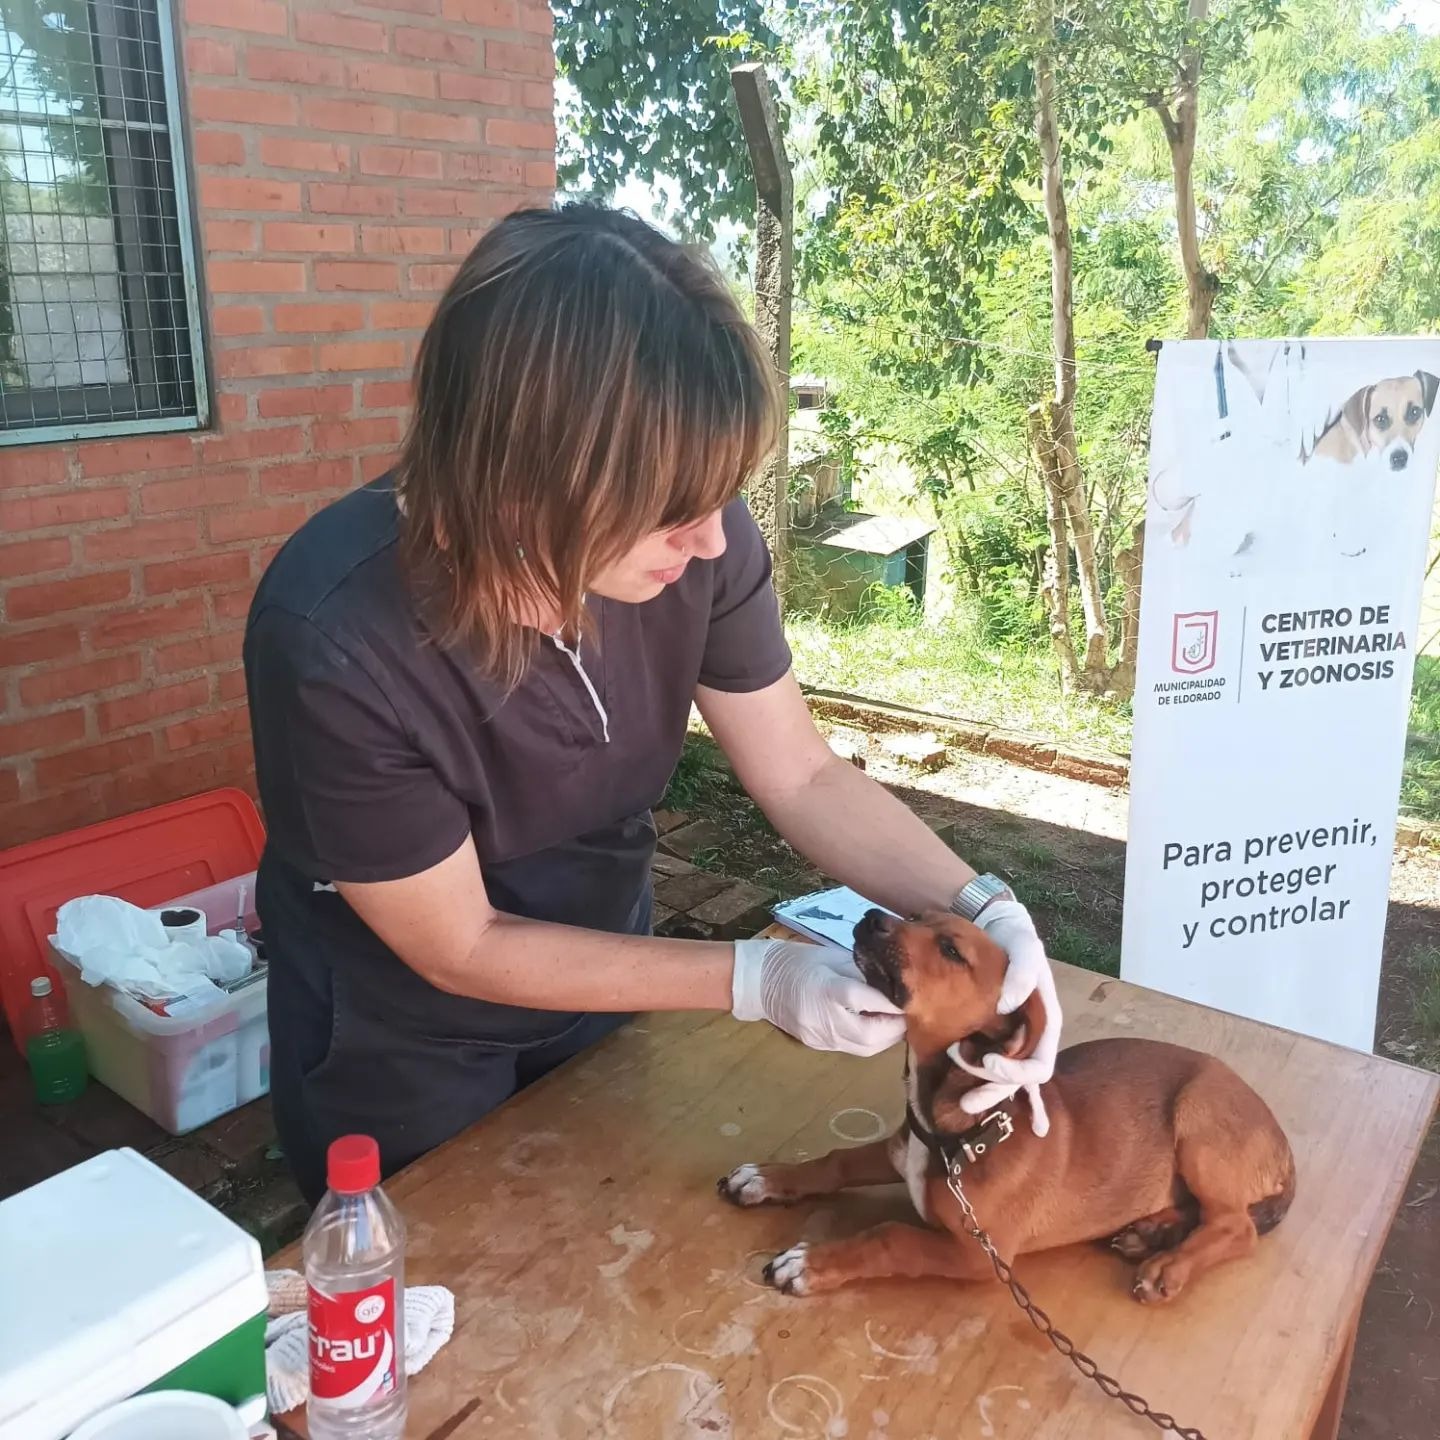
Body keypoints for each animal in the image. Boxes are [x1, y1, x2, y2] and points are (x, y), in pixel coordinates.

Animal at [720, 910, 1296, 1307]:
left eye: (951, 950)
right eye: (917, 916)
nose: (869, 917)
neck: (962, 1133)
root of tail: (1282, 1144)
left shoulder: (980, 1253)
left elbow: (890, 1235)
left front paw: (812, 1261)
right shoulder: (900, 1151)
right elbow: (836, 1160)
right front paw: (768, 1177)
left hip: (1198, 1122)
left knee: (1235, 1224)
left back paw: (1168, 1264)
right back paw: (1149, 1232)